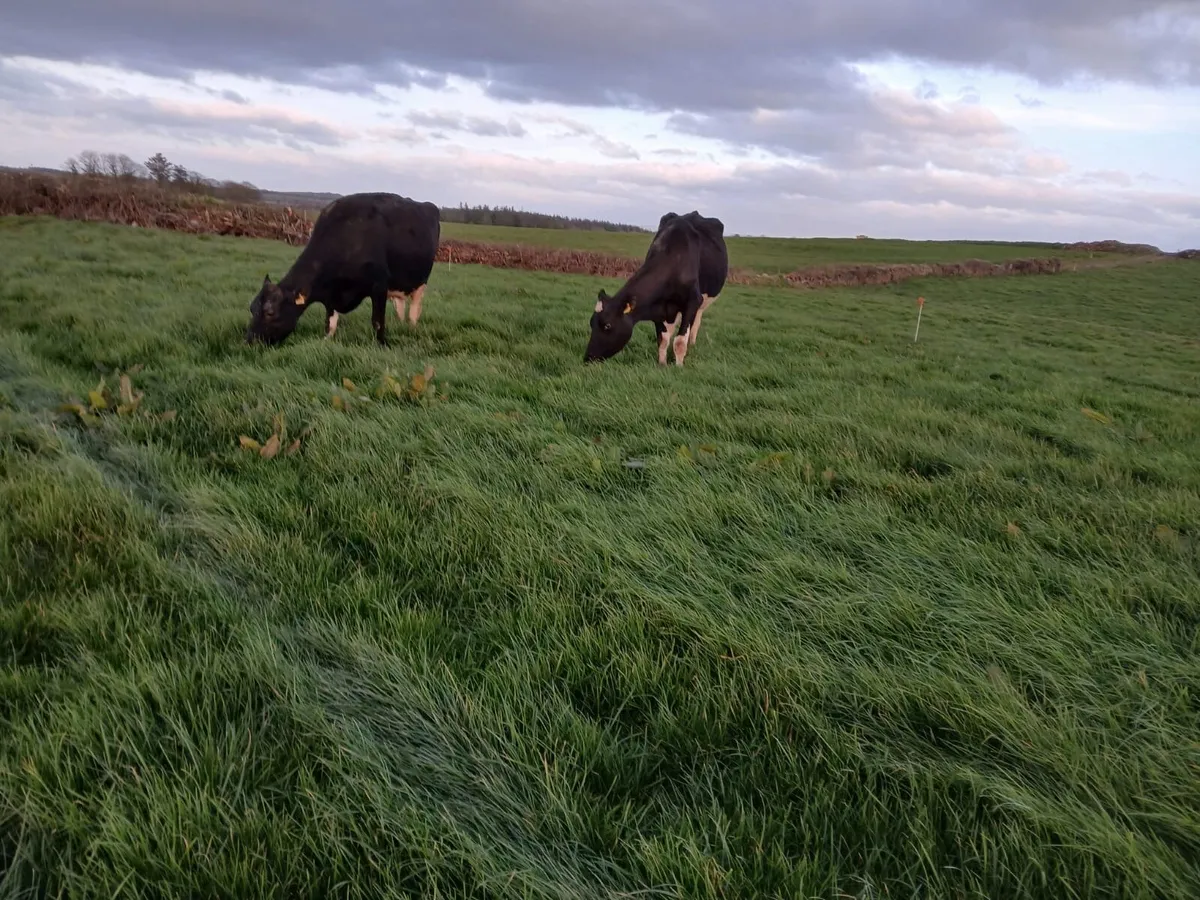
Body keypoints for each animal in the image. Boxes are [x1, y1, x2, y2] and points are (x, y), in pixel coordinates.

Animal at [244, 191, 440, 347]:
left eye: (270, 312)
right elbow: (329, 324)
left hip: (420, 282)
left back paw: (411, 328)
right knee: (400, 304)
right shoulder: (330, 295)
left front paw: (382, 344)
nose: (249, 342)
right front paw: (325, 341)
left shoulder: (379, 285)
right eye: (252, 309)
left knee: (414, 310)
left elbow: (377, 321)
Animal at [584, 210, 727, 366]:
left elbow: (679, 341)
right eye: (591, 323)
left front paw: (678, 366)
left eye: (607, 325)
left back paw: (692, 344)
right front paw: (662, 364)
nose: (588, 357)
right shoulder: (658, 308)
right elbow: (662, 340)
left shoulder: (692, 301)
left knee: (696, 322)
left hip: (703, 302)